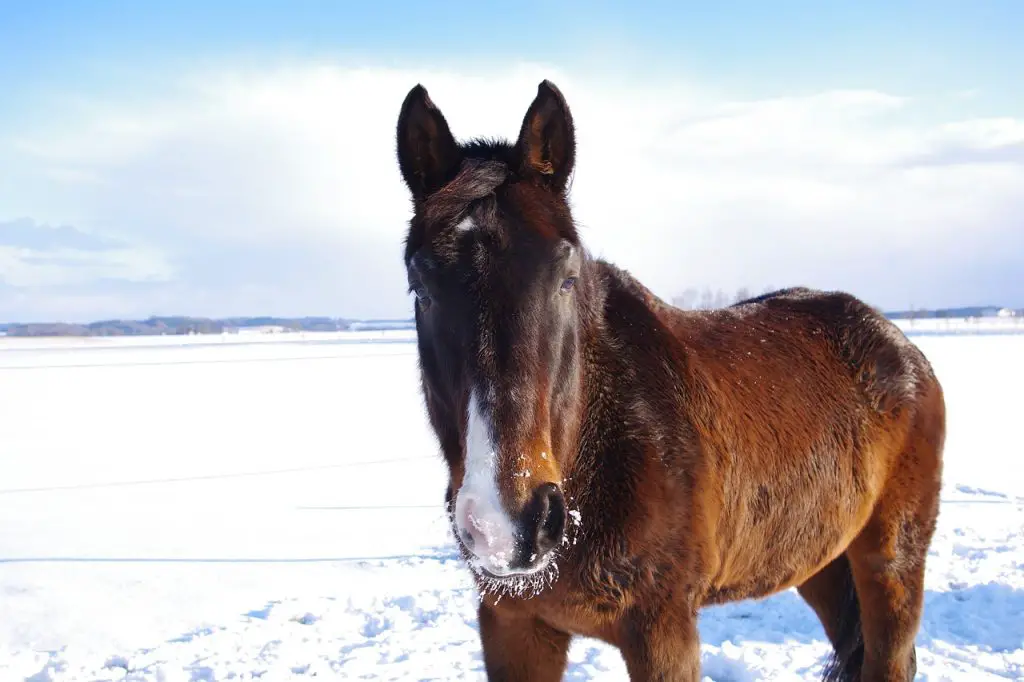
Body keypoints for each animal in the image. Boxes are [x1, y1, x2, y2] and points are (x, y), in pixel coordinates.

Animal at [389, 76, 942, 675]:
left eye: (566, 277)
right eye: (420, 286)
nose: (506, 523)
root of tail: (898, 345)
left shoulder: (663, 629)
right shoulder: (513, 625)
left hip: (891, 561)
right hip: (819, 558)